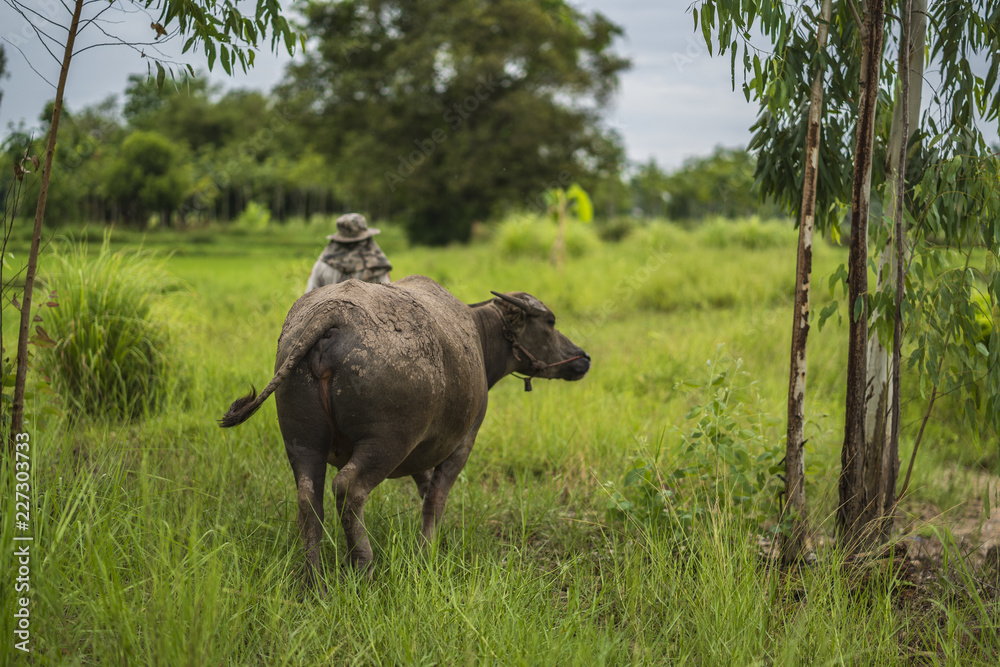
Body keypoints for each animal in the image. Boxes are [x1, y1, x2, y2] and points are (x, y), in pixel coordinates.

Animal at [220, 275, 589, 581]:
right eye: (550, 322)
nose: (583, 358)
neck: (479, 338)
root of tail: (333, 312)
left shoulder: (419, 452)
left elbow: (424, 487)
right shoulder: (462, 443)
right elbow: (435, 499)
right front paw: (427, 550)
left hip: (302, 440)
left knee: (309, 500)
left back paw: (315, 580)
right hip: (386, 442)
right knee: (349, 488)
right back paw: (363, 567)